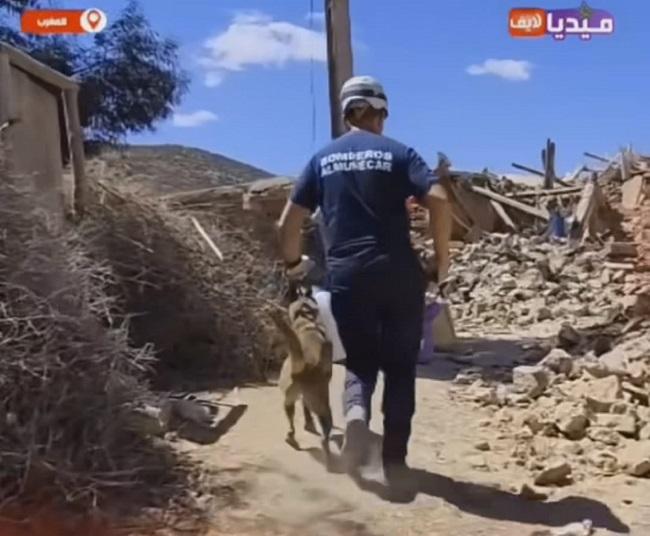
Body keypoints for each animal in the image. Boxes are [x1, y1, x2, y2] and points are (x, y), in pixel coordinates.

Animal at [268, 284, 332, 456]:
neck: (305, 316)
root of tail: (310, 364)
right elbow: (306, 408)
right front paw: (309, 421)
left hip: (290, 396)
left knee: (291, 417)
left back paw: (291, 437)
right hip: (321, 399)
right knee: (327, 422)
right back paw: (325, 442)